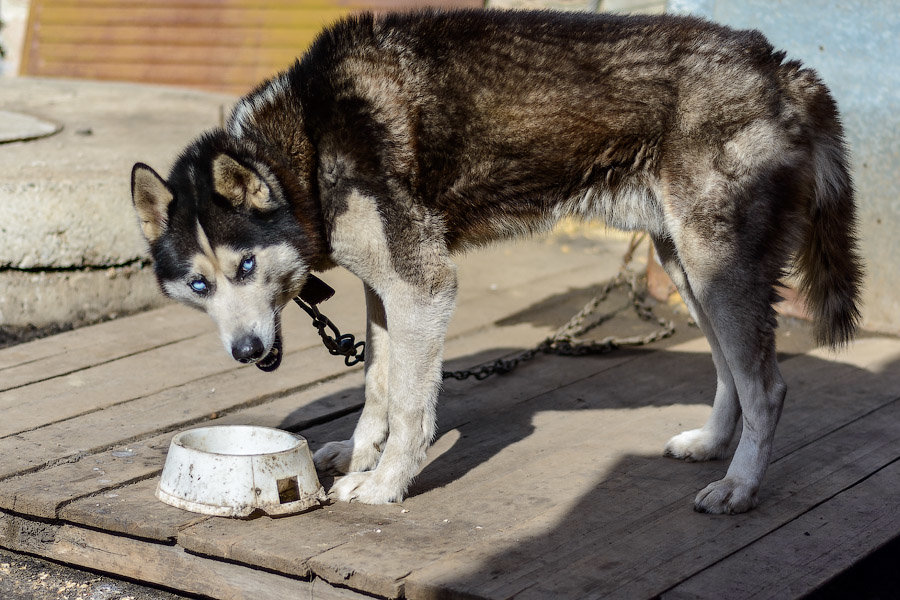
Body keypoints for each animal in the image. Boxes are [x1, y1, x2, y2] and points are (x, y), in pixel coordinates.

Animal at [130, 9, 860, 512]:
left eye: (246, 267)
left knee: (767, 388)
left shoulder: (424, 289)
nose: (247, 352)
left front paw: (387, 483)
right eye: (199, 284)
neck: (304, 144)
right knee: (732, 374)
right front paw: (358, 456)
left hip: (718, 272)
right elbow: (377, 388)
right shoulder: (384, 296)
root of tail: (779, 66)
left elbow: (410, 407)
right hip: (690, 272)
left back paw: (740, 486)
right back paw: (711, 446)